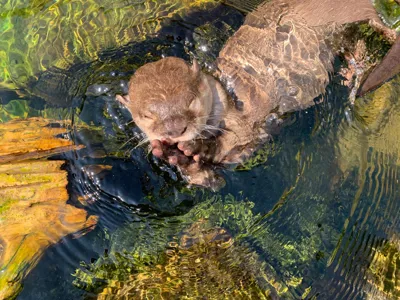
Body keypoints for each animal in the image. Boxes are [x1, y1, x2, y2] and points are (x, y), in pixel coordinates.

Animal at [116, 0, 400, 188]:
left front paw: (199, 147)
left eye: (191, 101)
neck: (226, 94)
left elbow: (235, 140)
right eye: (147, 116)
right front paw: (178, 159)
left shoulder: (245, 119)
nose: (175, 130)